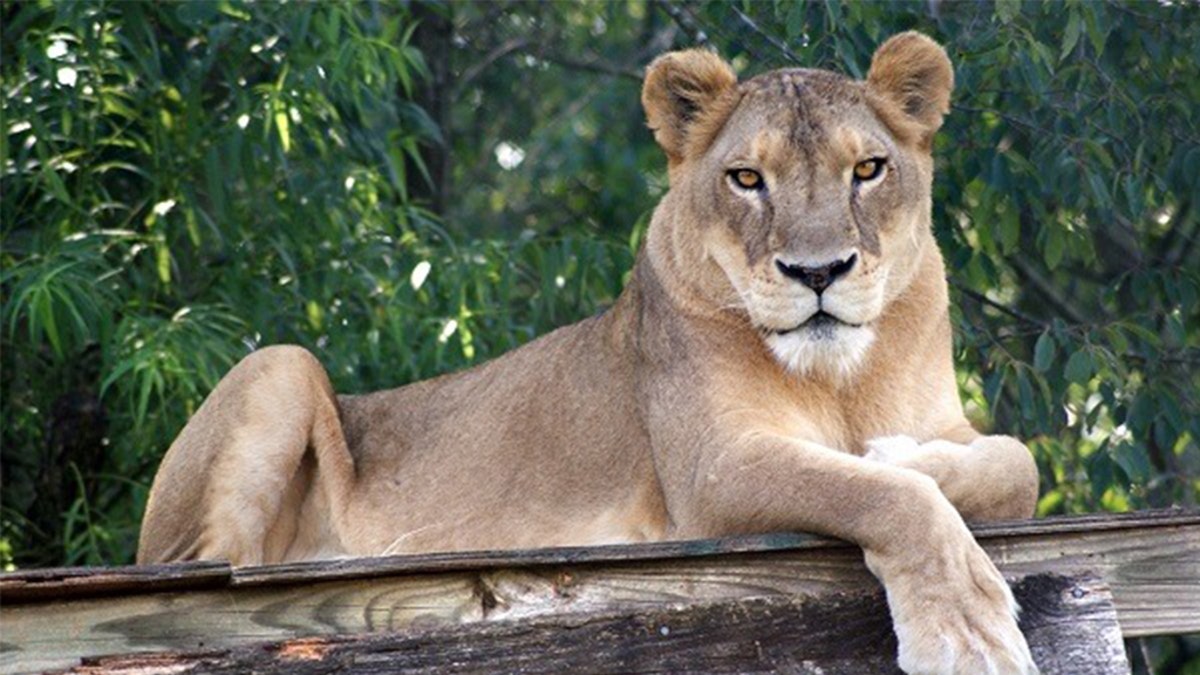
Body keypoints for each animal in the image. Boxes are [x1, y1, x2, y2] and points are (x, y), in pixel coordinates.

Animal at [139, 32, 1040, 674]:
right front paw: (968, 635)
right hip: (280, 367)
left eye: (869, 169)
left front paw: (905, 453)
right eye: (747, 179)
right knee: (203, 572)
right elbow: (882, 495)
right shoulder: (712, 471)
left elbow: (1013, 465)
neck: (841, 380)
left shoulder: (946, 421)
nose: (817, 272)